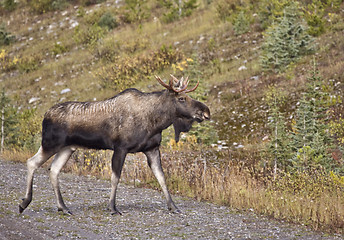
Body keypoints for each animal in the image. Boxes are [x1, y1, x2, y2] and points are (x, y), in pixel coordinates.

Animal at [18, 74, 210, 214]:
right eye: (182, 98)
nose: (206, 112)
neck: (155, 122)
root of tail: (45, 116)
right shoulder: (120, 148)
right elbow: (115, 178)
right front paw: (112, 207)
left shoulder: (152, 149)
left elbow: (162, 177)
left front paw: (173, 206)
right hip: (50, 143)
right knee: (32, 162)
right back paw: (25, 203)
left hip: (67, 148)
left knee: (54, 170)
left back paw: (63, 207)